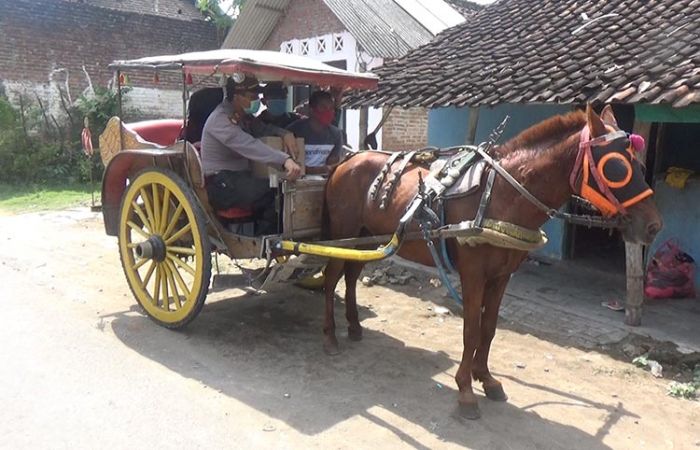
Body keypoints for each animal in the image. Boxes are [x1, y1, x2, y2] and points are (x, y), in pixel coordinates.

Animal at [322, 105, 660, 418]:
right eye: (616, 166)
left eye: (639, 162)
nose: (653, 226)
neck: (500, 196)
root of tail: (347, 160)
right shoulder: (473, 274)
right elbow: (471, 329)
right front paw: (465, 390)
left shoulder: (502, 275)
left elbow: (489, 327)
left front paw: (485, 378)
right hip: (341, 234)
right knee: (331, 279)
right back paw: (330, 336)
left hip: (366, 238)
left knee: (351, 276)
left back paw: (354, 325)